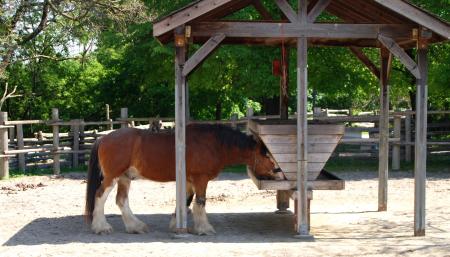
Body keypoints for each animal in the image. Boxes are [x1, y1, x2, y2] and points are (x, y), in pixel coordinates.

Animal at [85, 123, 282, 234]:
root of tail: (103, 138)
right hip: (112, 177)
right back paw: (101, 227)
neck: (213, 144)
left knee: (121, 200)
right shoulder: (201, 179)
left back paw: (135, 227)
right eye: (265, 154)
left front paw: (175, 225)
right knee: (99, 196)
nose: (278, 171)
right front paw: (204, 229)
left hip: (125, 178)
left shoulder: (189, 181)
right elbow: (200, 202)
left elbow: (185, 201)